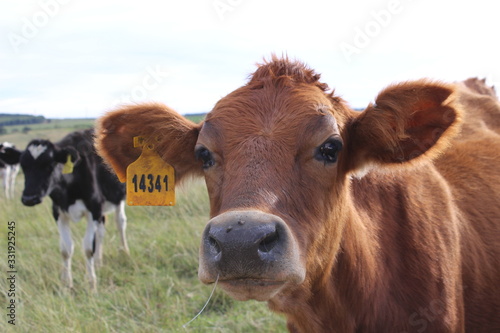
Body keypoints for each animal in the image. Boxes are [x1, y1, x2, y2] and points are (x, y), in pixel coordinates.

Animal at [17, 128, 128, 290]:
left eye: (49, 165)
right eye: (24, 166)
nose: (29, 198)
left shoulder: (94, 209)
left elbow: (88, 248)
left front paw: (91, 283)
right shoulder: (58, 212)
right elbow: (65, 249)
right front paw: (66, 283)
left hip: (119, 196)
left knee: (120, 222)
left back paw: (125, 251)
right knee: (101, 231)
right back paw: (99, 262)